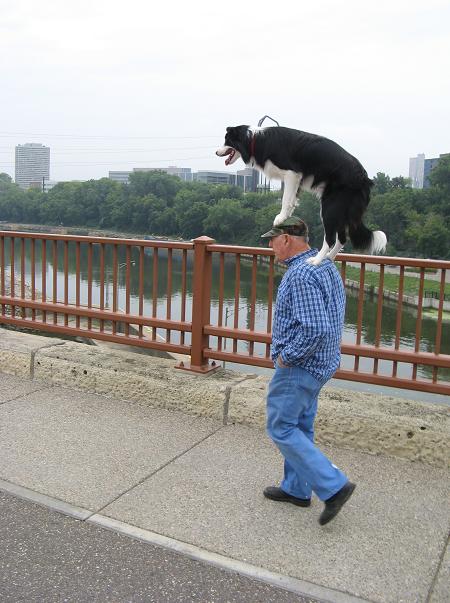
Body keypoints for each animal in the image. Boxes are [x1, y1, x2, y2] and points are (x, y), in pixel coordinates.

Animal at [216, 126, 384, 266]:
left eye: (227, 141)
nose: (216, 152)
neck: (254, 140)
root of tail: (364, 178)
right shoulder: (296, 179)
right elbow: (291, 200)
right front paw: (287, 217)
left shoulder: (291, 173)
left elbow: (285, 199)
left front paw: (280, 218)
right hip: (340, 210)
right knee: (342, 238)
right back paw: (329, 258)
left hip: (329, 207)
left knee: (330, 238)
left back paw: (317, 260)